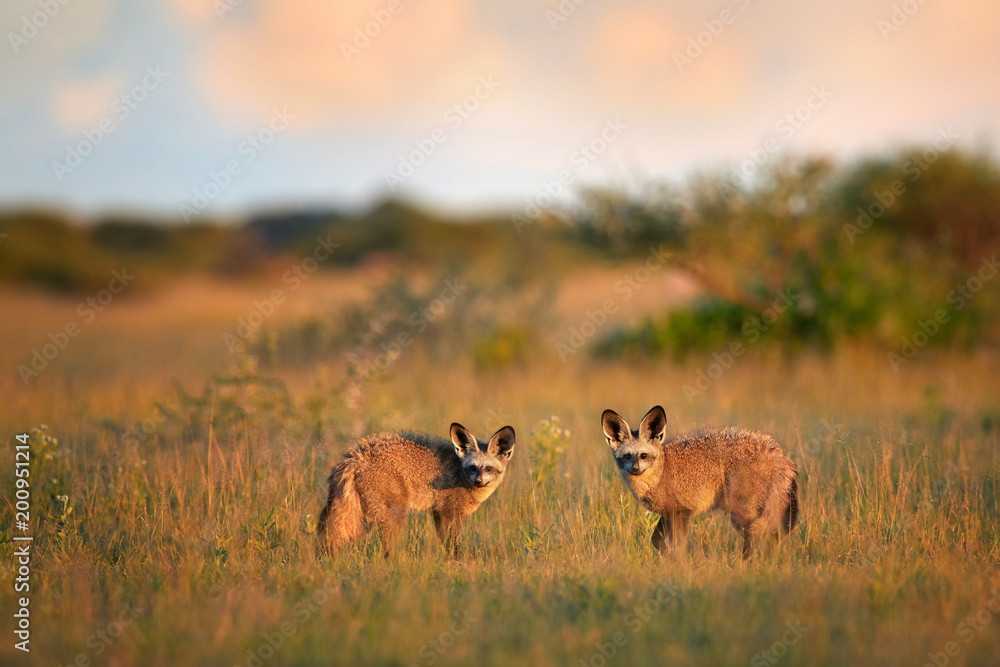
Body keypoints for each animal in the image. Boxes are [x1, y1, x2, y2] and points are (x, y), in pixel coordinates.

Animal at [316, 422, 516, 559]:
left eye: (488, 468)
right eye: (473, 468)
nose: (479, 481)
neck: (460, 473)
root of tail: (356, 456)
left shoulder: (438, 514)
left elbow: (445, 546)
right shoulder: (449, 514)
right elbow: (453, 548)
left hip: (360, 519)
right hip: (392, 516)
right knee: (388, 553)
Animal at [601, 406, 799, 559]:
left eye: (643, 455)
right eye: (627, 456)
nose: (635, 469)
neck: (661, 472)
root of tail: (776, 451)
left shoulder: (683, 512)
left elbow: (678, 547)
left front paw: (678, 566)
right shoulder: (669, 513)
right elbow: (656, 541)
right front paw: (667, 560)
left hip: (740, 512)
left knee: (757, 538)